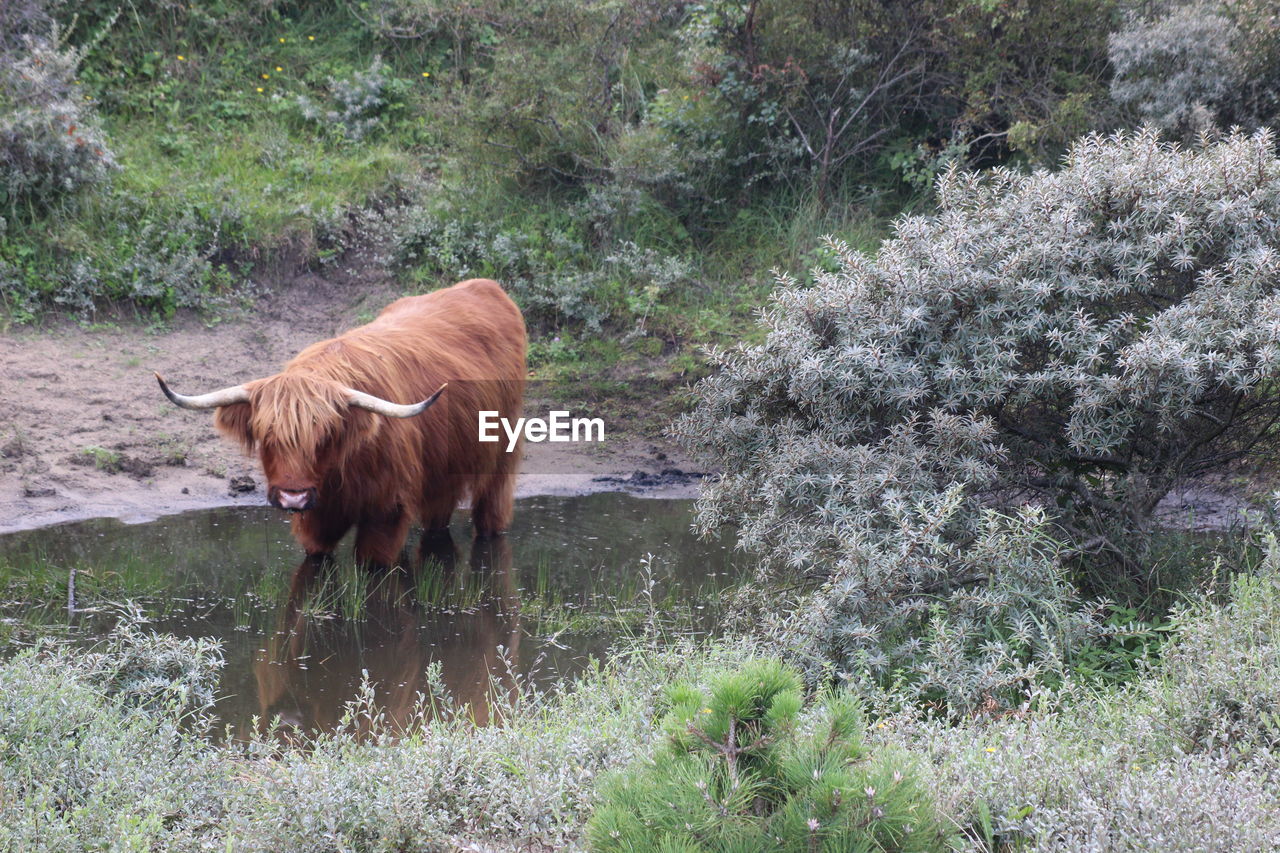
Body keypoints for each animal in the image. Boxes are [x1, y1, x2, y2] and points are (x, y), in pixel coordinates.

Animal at [156, 275, 524, 560]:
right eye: (266, 436)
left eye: (324, 436)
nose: (293, 497)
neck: (339, 476)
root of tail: (485, 285)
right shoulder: (316, 522)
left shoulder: (386, 512)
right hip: (441, 470)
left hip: (500, 454)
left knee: (491, 508)